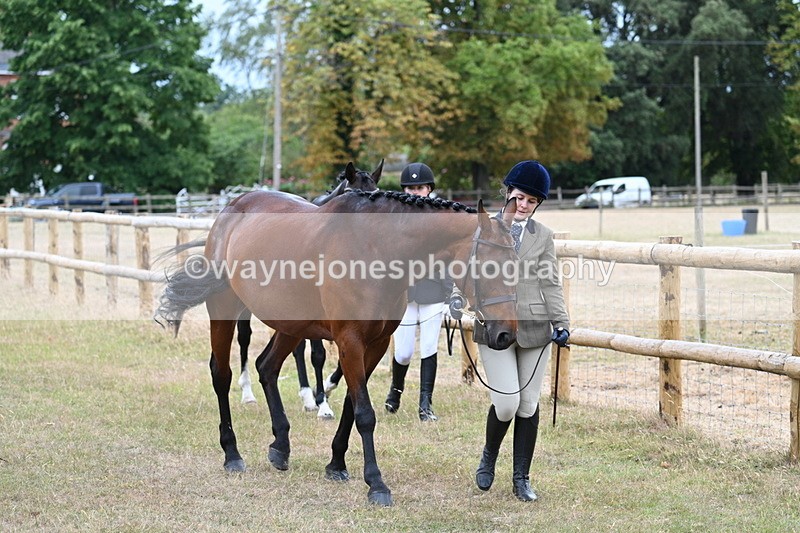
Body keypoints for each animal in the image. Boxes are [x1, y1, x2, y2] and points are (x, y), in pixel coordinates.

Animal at [156, 190, 519, 506]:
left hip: (291, 325)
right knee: (222, 375)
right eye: (489, 266)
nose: (505, 334)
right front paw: (376, 484)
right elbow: (365, 414)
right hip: (224, 309)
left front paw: (336, 464)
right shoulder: (350, 342)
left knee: (267, 367)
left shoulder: (375, 344)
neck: (376, 250)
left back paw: (281, 447)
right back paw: (232, 454)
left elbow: (349, 405)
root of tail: (232, 209)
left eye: (514, 265)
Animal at [235, 161, 382, 418]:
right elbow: (318, 355)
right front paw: (322, 404)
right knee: (245, 337)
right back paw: (248, 393)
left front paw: (324, 393)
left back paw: (306, 395)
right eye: (351, 196)